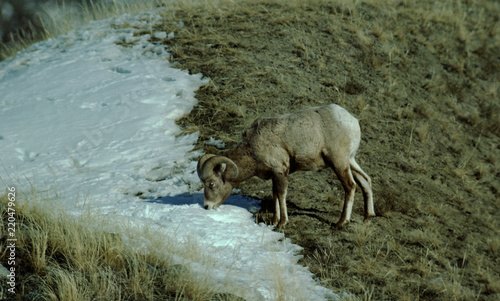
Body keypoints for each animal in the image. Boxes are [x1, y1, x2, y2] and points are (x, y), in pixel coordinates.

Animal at [197, 103, 374, 227]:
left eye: (211, 184)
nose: (206, 206)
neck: (253, 148)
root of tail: (353, 122)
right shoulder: (274, 175)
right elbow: (275, 194)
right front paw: (275, 220)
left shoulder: (280, 171)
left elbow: (281, 195)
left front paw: (282, 223)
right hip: (350, 161)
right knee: (366, 180)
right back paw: (368, 217)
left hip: (339, 162)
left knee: (350, 186)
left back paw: (341, 223)